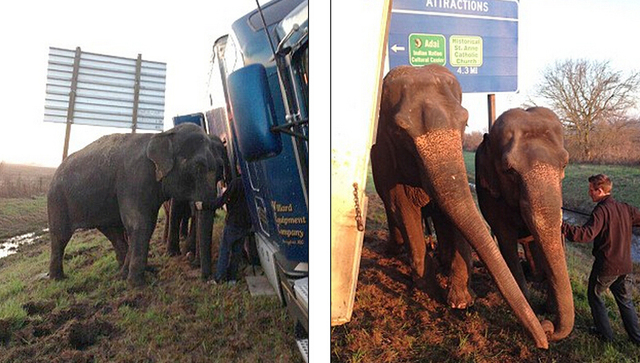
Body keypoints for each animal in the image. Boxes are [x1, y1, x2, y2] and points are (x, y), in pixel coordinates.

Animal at [47, 124, 225, 288]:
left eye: (219, 166)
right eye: (198, 167)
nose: (208, 279)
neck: (163, 135)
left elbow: (145, 225)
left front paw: (133, 276)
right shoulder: (135, 178)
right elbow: (140, 223)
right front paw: (138, 284)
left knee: (114, 233)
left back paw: (122, 272)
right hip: (57, 199)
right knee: (60, 236)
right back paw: (58, 278)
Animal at [370, 65, 552, 350]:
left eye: (464, 122)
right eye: (399, 131)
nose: (545, 332)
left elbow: (452, 212)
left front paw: (462, 301)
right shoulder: (388, 161)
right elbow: (403, 207)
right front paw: (428, 289)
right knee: (395, 213)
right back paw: (397, 251)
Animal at [476, 106, 576, 342]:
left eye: (565, 164)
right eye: (509, 170)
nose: (548, 327)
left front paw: (548, 306)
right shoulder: (491, 197)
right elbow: (506, 242)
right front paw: (529, 301)